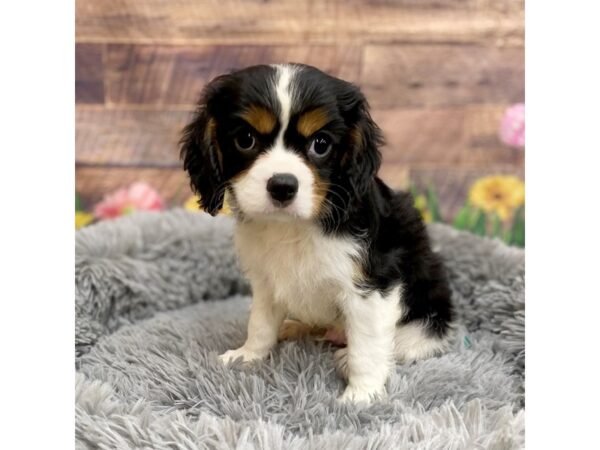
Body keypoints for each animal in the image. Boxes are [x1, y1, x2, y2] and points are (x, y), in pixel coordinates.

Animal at [180, 61, 452, 402]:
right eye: (245, 139)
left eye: (320, 144)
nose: (282, 185)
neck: (293, 225)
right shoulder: (266, 281)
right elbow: (260, 322)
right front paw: (248, 355)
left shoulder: (371, 286)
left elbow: (368, 346)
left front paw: (362, 395)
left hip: (428, 303)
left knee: (414, 339)